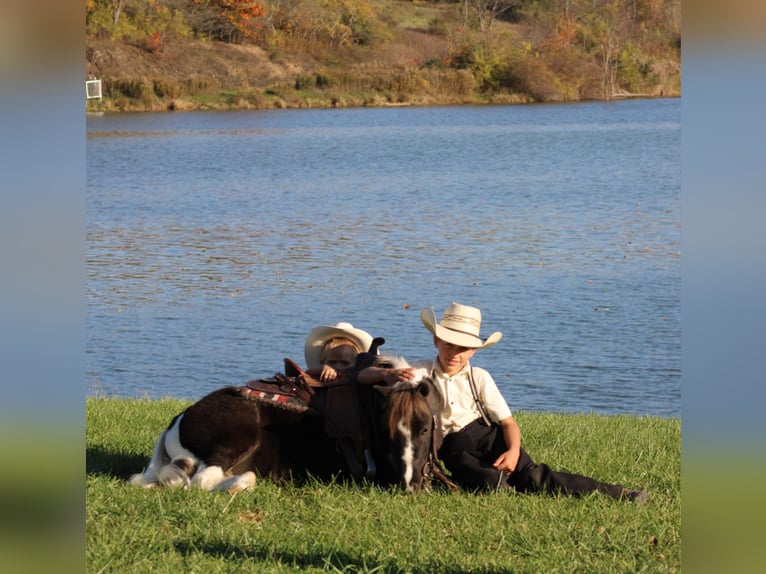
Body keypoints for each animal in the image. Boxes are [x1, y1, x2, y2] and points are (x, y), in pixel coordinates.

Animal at [128, 356, 452, 496]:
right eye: (387, 432)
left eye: (425, 429)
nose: (408, 485)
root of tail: (179, 420)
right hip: (233, 442)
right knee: (200, 481)